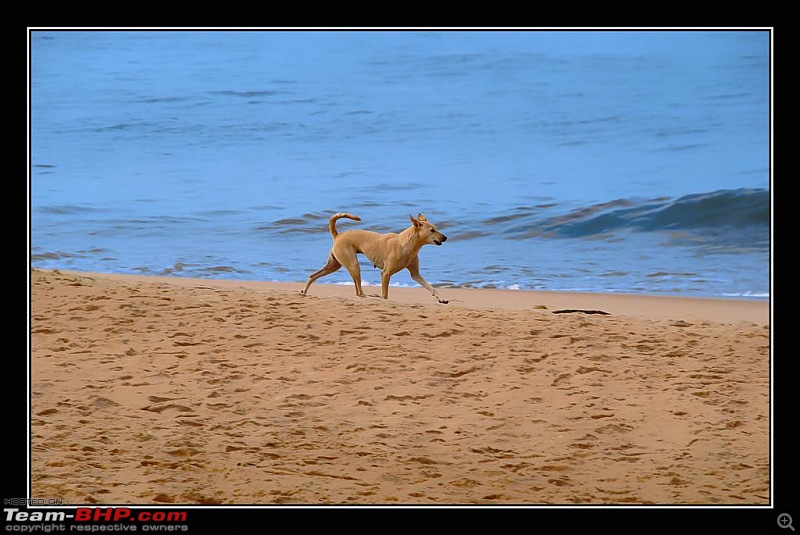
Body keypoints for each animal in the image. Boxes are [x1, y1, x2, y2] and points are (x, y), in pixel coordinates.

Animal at [302, 214, 450, 306]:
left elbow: (431, 287)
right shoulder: (385, 273)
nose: (445, 238)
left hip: (334, 265)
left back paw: (304, 291)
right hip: (354, 265)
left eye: (436, 228)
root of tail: (337, 235)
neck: (406, 243)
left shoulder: (416, 274)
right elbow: (385, 295)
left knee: (312, 276)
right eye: (432, 230)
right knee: (358, 290)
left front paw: (441, 298)